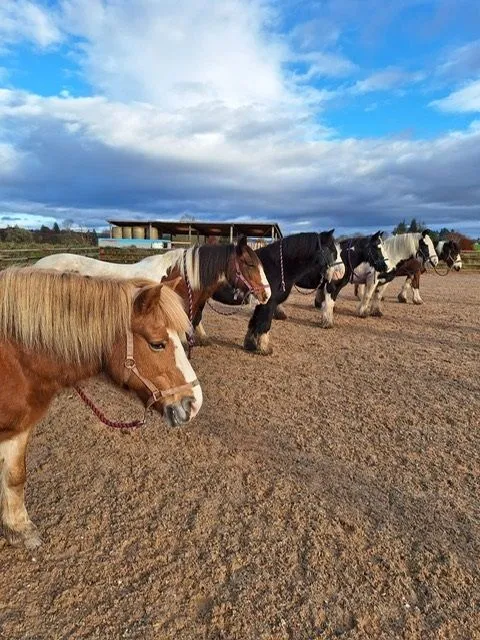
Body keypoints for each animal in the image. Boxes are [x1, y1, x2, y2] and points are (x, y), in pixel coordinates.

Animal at [0, 268, 202, 549]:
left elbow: (15, 476)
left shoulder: (18, 428)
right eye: (157, 344)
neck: (16, 359)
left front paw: (18, 529)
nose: (193, 403)